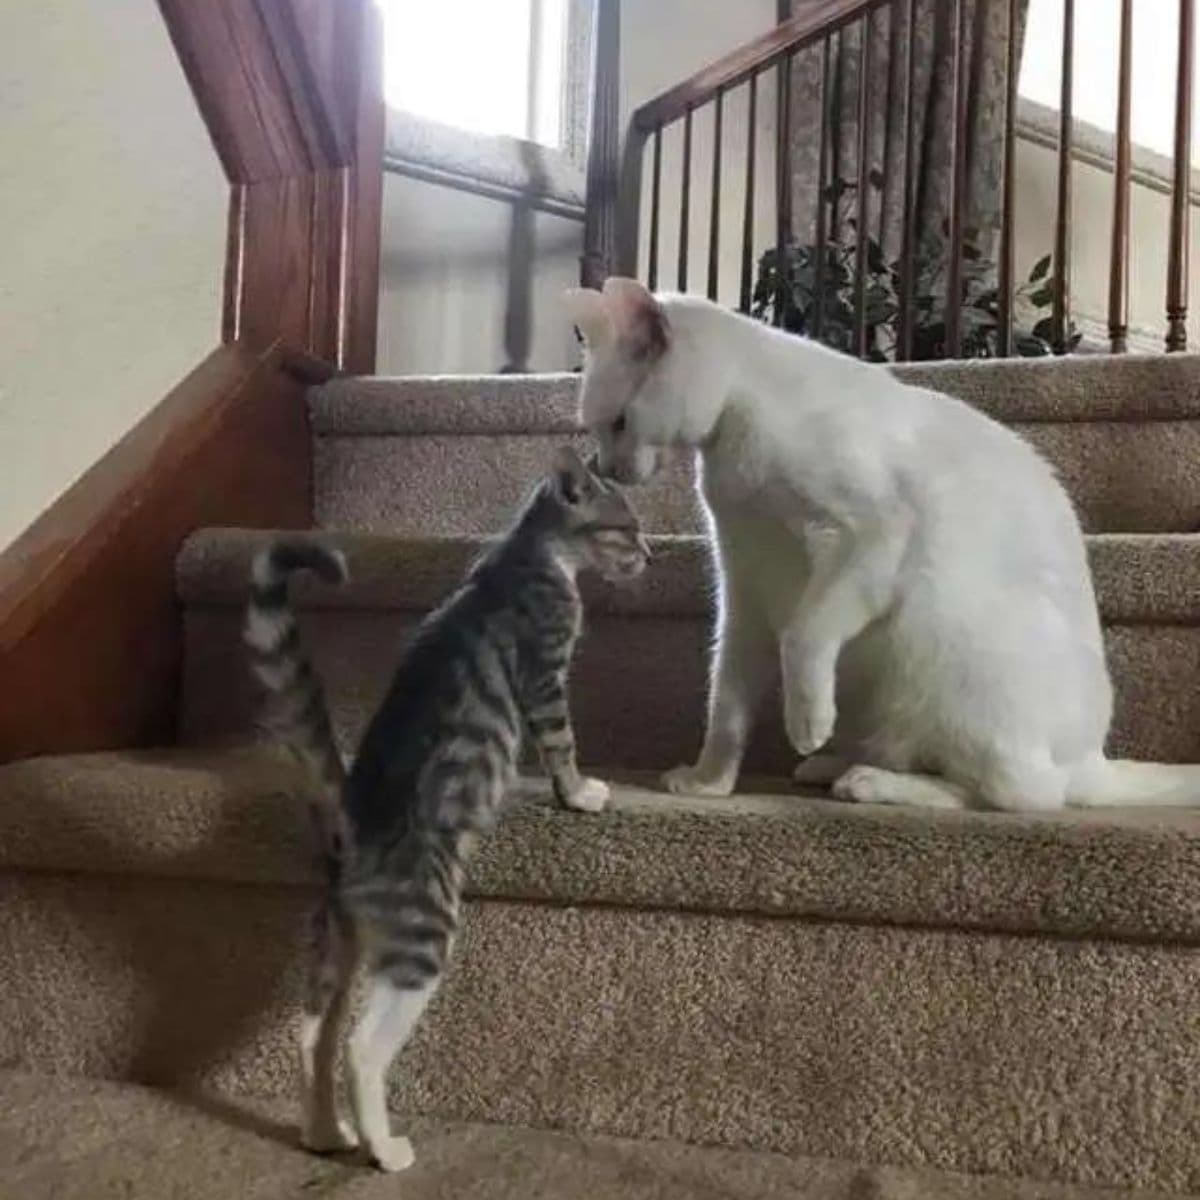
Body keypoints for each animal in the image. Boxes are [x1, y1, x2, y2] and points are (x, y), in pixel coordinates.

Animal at [241, 448, 648, 1171]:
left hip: (339, 941)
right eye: (625, 529)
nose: (650, 555)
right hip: (422, 934)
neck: (527, 553)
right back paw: (384, 1148)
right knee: (360, 1048)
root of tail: (351, 824)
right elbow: (562, 743)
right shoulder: (545, 672)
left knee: (311, 1034)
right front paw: (579, 794)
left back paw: (324, 1134)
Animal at [566, 276, 1200, 811]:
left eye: (618, 423)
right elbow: (727, 701)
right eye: (594, 430)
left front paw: (805, 723)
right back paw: (833, 764)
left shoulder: (867, 536)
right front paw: (708, 782)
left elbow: (803, 637)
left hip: (951, 645)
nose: (604, 467)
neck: (731, 442)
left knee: (1018, 792)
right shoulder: (744, 587)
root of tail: (1093, 759)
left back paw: (867, 780)